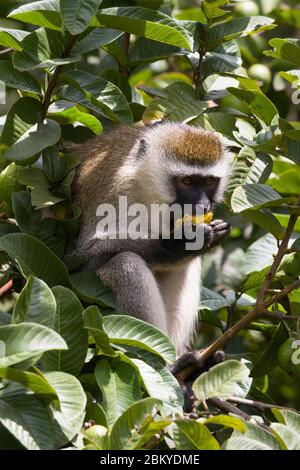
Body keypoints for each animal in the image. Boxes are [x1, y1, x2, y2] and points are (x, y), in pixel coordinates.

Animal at [72, 121, 232, 360]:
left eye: (209, 182)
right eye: (187, 181)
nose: (202, 206)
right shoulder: (117, 191)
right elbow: (84, 260)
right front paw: (179, 242)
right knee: (125, 263)